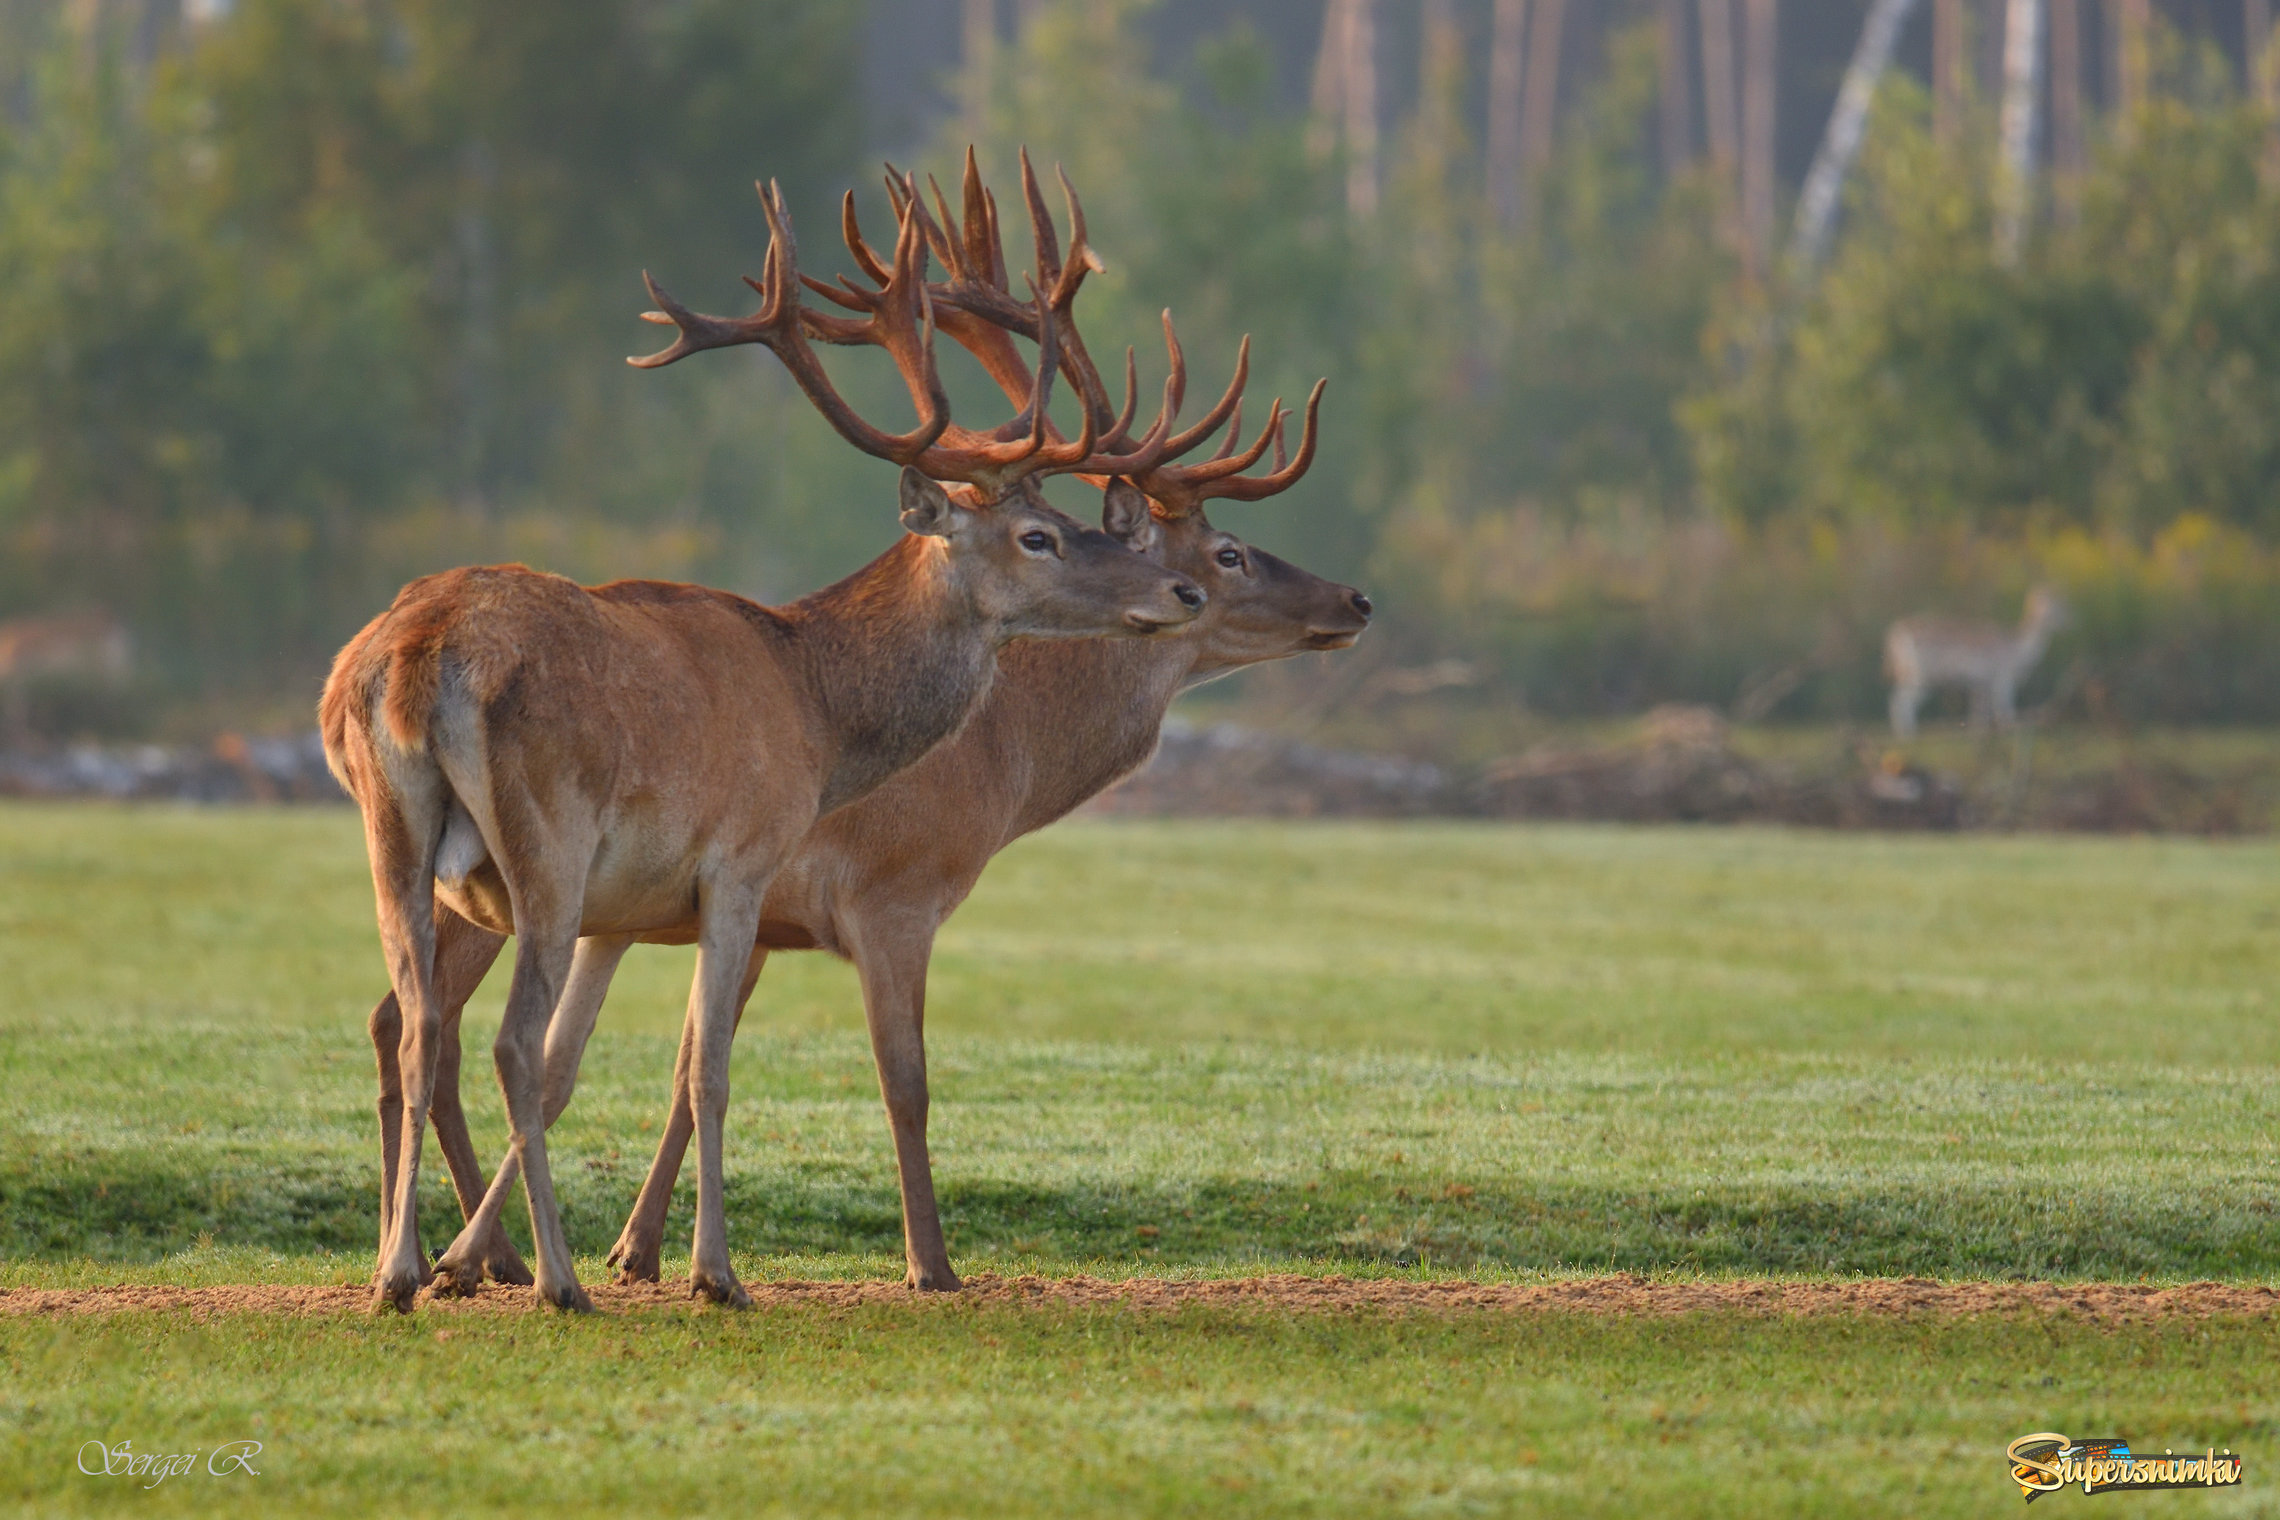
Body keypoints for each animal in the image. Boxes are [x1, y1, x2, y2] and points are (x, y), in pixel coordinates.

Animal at [373, 151, 1368, 1294]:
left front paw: (633, 1247)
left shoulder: (705, 912)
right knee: (428, 1027)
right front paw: (927, 1261)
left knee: (411, 1021)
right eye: (1232, 552)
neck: (1002, 768)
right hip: (515, 872)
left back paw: (440, 1256)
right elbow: (897, 1079)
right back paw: (477, 1256)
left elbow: (652, 1069)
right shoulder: (886, 893)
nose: (1354, 599)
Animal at [1887, 587, 2070, 738]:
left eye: (2063, 604)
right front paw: (2009, 731)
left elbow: (1980, 715)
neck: (2018, 649)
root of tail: (1897, 631)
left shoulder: (1981, 685)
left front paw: (1979, 735)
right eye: (2057, 605)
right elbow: (2004, 710)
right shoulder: (2002, 678)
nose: (2071, 617)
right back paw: (1908, 735)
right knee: (1901, 702)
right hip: (1921, 675)